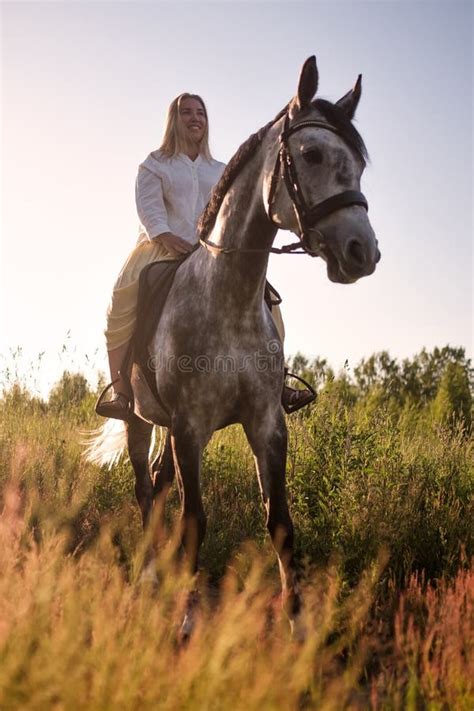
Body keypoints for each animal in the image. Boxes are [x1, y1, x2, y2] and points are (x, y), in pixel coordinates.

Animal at [87, 56, 380, 632]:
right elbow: (194, 520)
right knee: (145, 491)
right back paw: (149, 578)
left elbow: (280, 521)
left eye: (359, 163)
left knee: (159, 486)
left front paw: (298, 626)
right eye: (311, 154)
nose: (363, 252)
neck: (227, 296)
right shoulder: (189, 427)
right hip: (139, 419)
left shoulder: (266, 422)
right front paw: (185, 621)